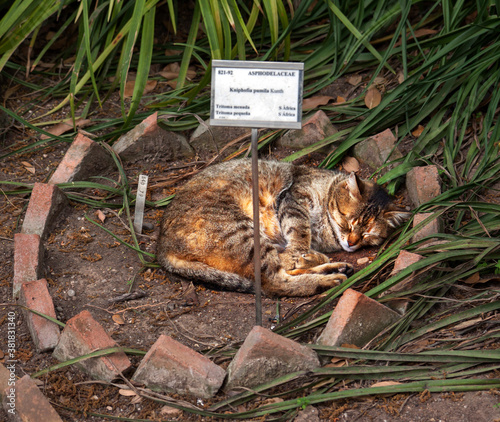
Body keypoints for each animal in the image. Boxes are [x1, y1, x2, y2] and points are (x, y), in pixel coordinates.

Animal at [157, 159, 410, 296]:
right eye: (348, 223)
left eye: (367, 234)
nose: (351, 242)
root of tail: (162, 247)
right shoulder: (293, 199)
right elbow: (299, 232)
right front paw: (305, 252)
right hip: (243, 233)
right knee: (275, 283)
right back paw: (324, 276)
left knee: (280, 273)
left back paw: (331, 268)